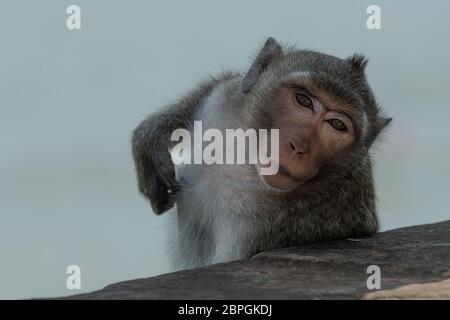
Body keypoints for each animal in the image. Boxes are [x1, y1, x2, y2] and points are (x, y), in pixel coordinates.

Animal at [133, 37, 390, 268]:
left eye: (337, 124)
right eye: (304, 100)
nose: (298, 146)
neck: (246, 162)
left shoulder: (267, 228)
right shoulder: (220, 101)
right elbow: (227, 84)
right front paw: (150, 138)